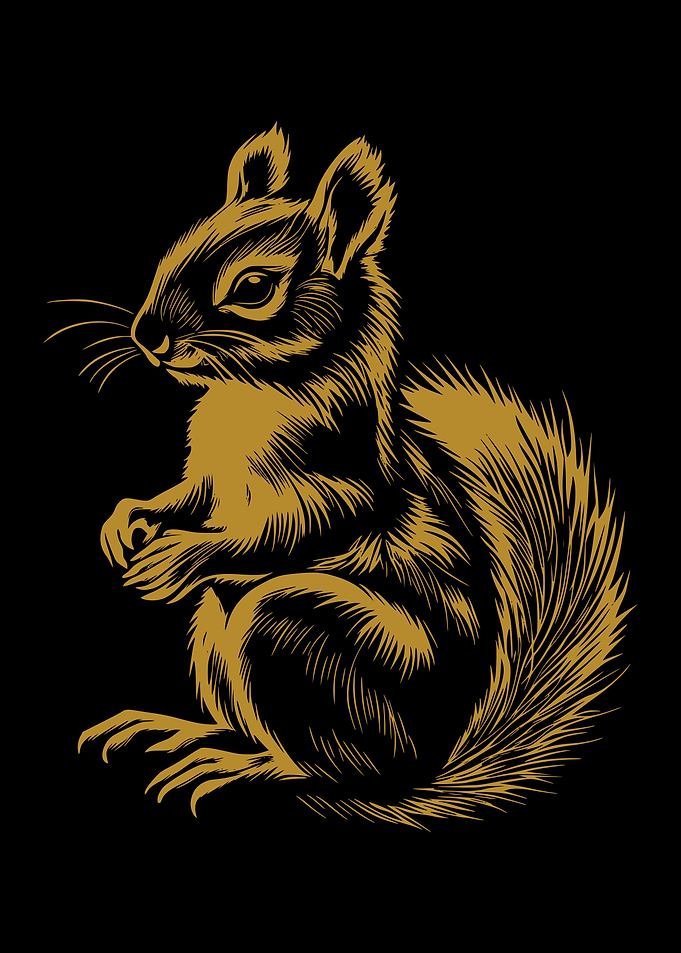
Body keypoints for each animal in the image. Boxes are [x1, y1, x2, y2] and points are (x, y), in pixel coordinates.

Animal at [51, 126, 628, 826]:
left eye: (253, 288)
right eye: (174, 250)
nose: (147, 335)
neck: (244, 396)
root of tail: (428, 769)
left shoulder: (342, 482)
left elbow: (295, 527)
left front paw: (185, 555)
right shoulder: (209, 476)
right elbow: (187, 497)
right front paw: (127, 518)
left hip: (297, 635)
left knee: (331, 772)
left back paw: (241, 767)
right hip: (216, 633)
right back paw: (182, 732)